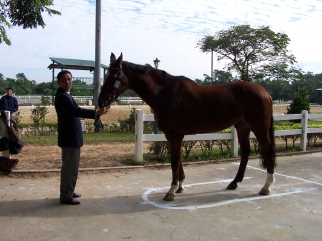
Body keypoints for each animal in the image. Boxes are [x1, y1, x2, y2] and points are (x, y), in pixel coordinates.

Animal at [98, 53, 276, 201]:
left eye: (114, 76)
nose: (100, 101)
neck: (166, 94)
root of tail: (265, 91)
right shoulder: (172, 135)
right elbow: (179, 160)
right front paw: (180, 186)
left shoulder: (175, 134)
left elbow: (174, 161)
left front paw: (171, 191)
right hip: (242, 127)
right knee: (245, 152)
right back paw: (234, 182)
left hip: (259, 127)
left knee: (267, 151)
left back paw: (266, 187)